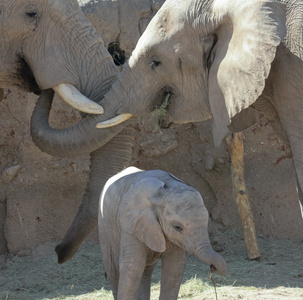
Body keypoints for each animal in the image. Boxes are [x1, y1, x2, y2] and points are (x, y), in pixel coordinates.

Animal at [98, 166, 227, 300]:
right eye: (178, 227)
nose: (213, 267)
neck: (162, 191)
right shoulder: (131, 223)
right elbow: (132, 266)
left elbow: (174, 266)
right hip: (104, 227)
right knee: (113, 271)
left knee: (145, 271)